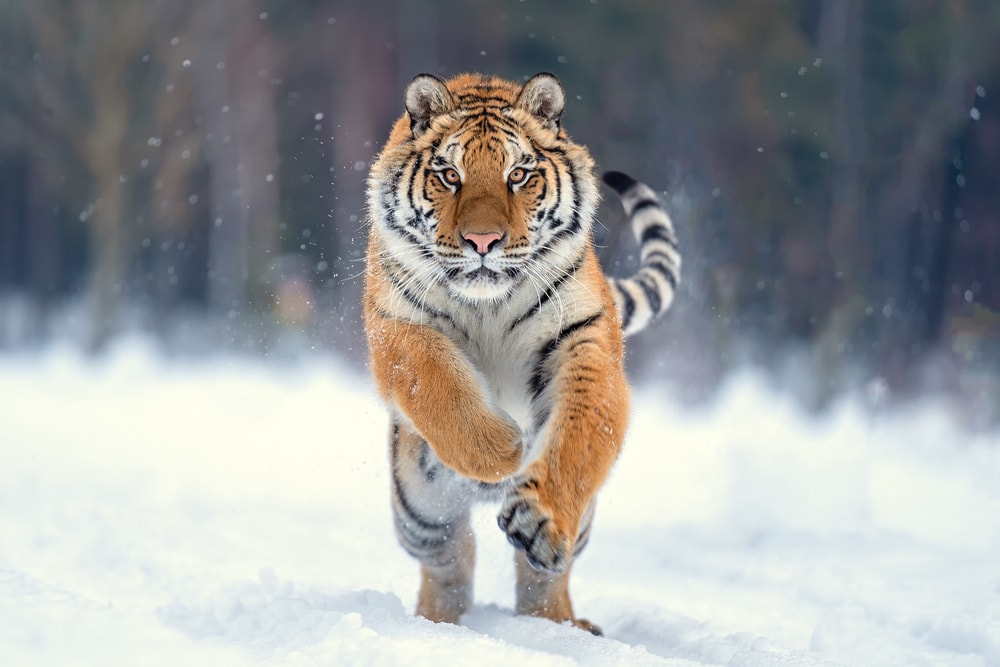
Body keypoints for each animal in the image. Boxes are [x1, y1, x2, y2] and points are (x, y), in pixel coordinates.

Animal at [363, 72, 680, 635]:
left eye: (518, 174)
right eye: (449, 174)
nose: (482, 241)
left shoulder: (583, 338)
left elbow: (581, 433)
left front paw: (539, 516)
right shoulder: (398, 326)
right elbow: (438, 385)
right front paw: (502, 449)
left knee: (541, 576)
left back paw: (559, 625)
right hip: (419, 511)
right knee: (450, 558)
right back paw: (437, 623)